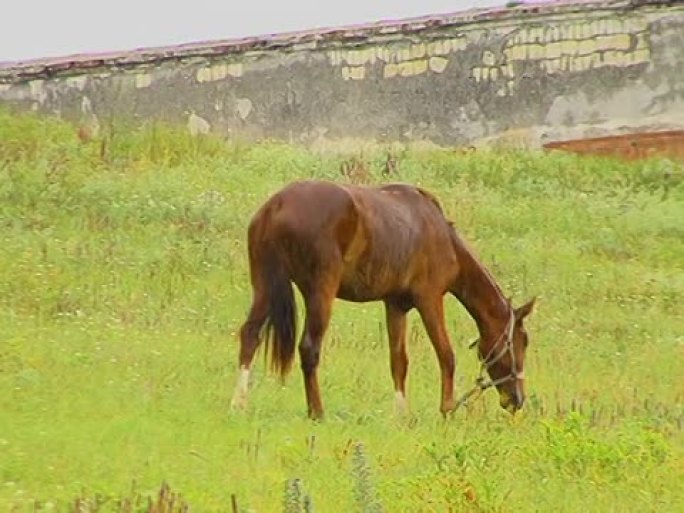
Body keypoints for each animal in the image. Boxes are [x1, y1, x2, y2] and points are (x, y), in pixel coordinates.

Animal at [232, 178, 536, 418]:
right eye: (522, 341)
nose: (518, 400)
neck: (442, 236)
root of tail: (277, 206)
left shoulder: (395, 305)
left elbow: (398, 360)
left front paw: (400, 414)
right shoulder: (429, 300)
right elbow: (446, 354)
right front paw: (447, 408)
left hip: (265, 287)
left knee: (250, 335)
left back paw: (239, 403)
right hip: (320, 293)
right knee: (309, 348)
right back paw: (316, 412)